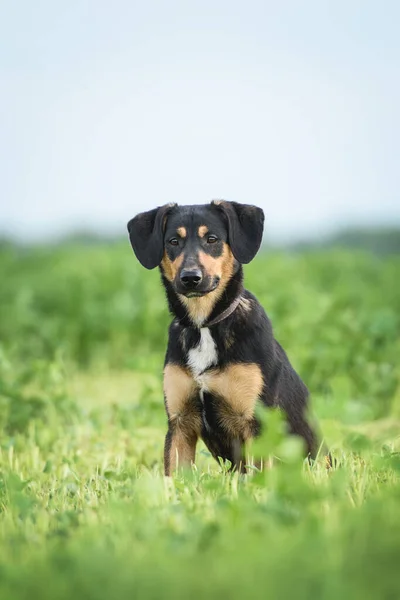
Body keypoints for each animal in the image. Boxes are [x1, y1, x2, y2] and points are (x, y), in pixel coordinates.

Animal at [128, 200, 318, 474]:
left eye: (212, 239)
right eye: (173, 241)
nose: (190, 278)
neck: (204, 326)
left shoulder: (256, 423)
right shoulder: (180, 424)